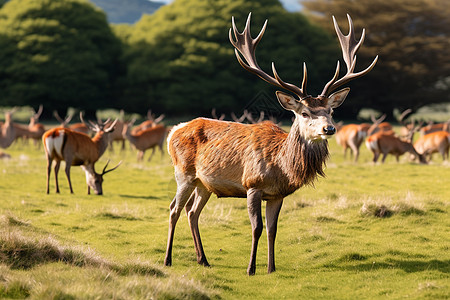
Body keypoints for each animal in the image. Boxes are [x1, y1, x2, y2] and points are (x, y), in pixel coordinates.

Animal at [163, 14, 378, 276]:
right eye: (304, 113)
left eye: (331, 111)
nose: (329, 129)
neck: (281, 166)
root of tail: (174, 130)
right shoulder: (252, 185)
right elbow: (256, 227)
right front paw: (251, 269)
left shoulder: (277, 194)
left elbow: (273, 229)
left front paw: (271, 268)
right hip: (183, 173)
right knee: (174, 209)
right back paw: (168, 259)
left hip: (204, 182)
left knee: (192, 212)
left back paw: (203, 259)